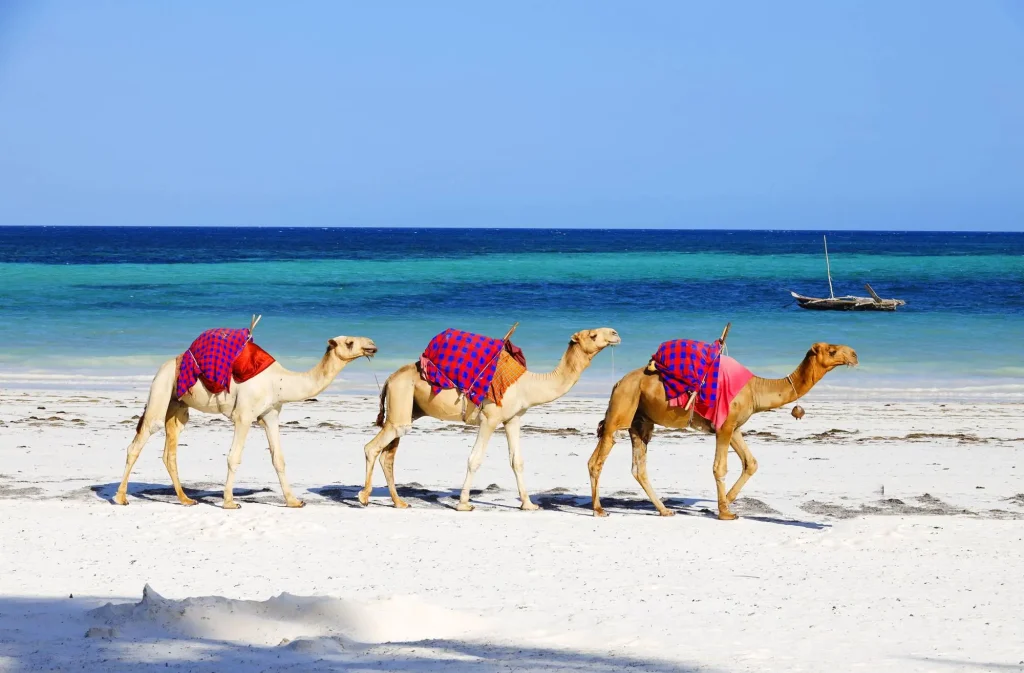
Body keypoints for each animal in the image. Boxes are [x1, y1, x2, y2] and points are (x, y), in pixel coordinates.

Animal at [114, 335, 378, 509]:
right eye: (349, 342)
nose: (372, 346)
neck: (279, 381)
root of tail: (166, 364)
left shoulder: (271, 415)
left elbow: (278, 459)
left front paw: (294, 501)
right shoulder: (244, 415)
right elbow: (234, 457)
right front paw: (230, 502)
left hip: (178, 405)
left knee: (170, 451)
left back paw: (186, 499)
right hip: (161, 388)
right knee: (141, 439)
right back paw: (121, 497)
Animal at [361, 328, 620, 511]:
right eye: (593, 334)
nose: (615, 333)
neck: (527, 385)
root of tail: (390, 378)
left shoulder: (513, 419)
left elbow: (517, 461)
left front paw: (528, 504)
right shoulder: (490, 418)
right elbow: (474, 459)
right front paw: (464, 503)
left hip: (407, 409)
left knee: (388, 454)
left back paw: (399, 502)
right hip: (401, 399)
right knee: (372, 447)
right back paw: (364, 497)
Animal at [587, 342, 857, 519]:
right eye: (832, 351)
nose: (854, 354)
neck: (756, 389)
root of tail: (617, 382)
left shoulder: (734, 427)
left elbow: (751, 463)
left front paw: (725, 501)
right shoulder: (724, 427)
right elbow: (720, 467)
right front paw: (725, 512)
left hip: (640, 420)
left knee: (638, 467)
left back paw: (664, 510)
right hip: (622, 408)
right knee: (598, 458)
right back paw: (599, 509)